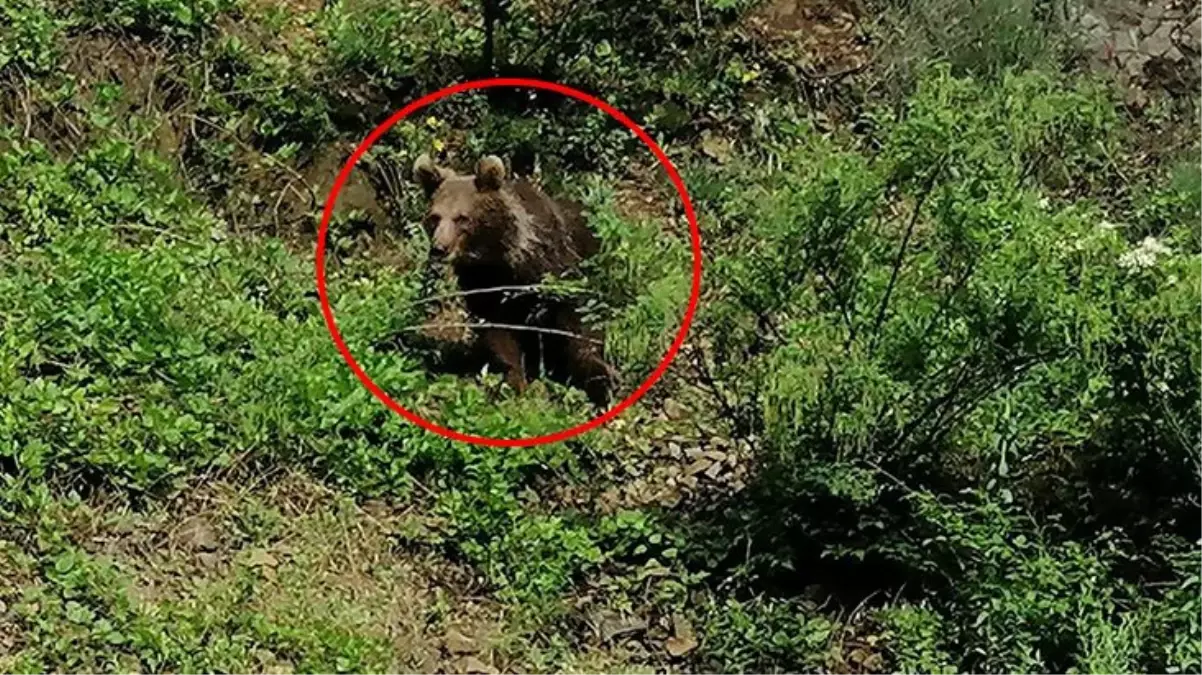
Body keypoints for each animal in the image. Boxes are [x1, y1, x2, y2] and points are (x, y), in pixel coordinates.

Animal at [413, 152, 620, 403]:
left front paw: (602, 380)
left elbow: (577, 318)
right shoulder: (483, 285)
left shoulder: (554, 269)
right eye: (434, 217)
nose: (439, 248)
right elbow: (499, 336)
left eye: (462, 218)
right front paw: (514, 382)